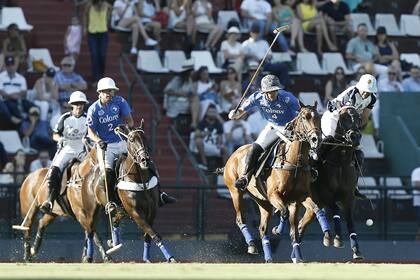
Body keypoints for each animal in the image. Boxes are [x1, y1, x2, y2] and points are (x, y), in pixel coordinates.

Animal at [105, 121, 176, 264]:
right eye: (131, 139)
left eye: (146, 138)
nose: (145, 160)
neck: (140, 181)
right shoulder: (135, 212)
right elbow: (153, 233)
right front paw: (170, 257)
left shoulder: (152, 210)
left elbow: (148, 234)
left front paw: (146, 258)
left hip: (124, 211)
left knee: (115, 220)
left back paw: (114, 243)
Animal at [221, 102, 326, 262]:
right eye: (304, 117)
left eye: (319, 116)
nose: (316, 139)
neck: (294, 162)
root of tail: (235, 153)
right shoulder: (274, 195)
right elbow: (284, 212)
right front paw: (278, 229)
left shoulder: (299, 198)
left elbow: (310, 215)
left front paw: (298, 256)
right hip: (235, 192)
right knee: (240, 219)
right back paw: (252, 245)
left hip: (262, 200)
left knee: (262, 228)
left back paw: (269, 257)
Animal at [292, 105, 364, 260]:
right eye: (343, 118)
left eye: (359, 118)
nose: (355, 137)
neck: (340, 162)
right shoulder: (325, 194)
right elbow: (336, 210)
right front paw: (337, 239)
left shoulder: (349, 197)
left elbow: (350, 220)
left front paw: (356, 250)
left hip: (312, 206)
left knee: (301, 225)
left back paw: (295, 255)